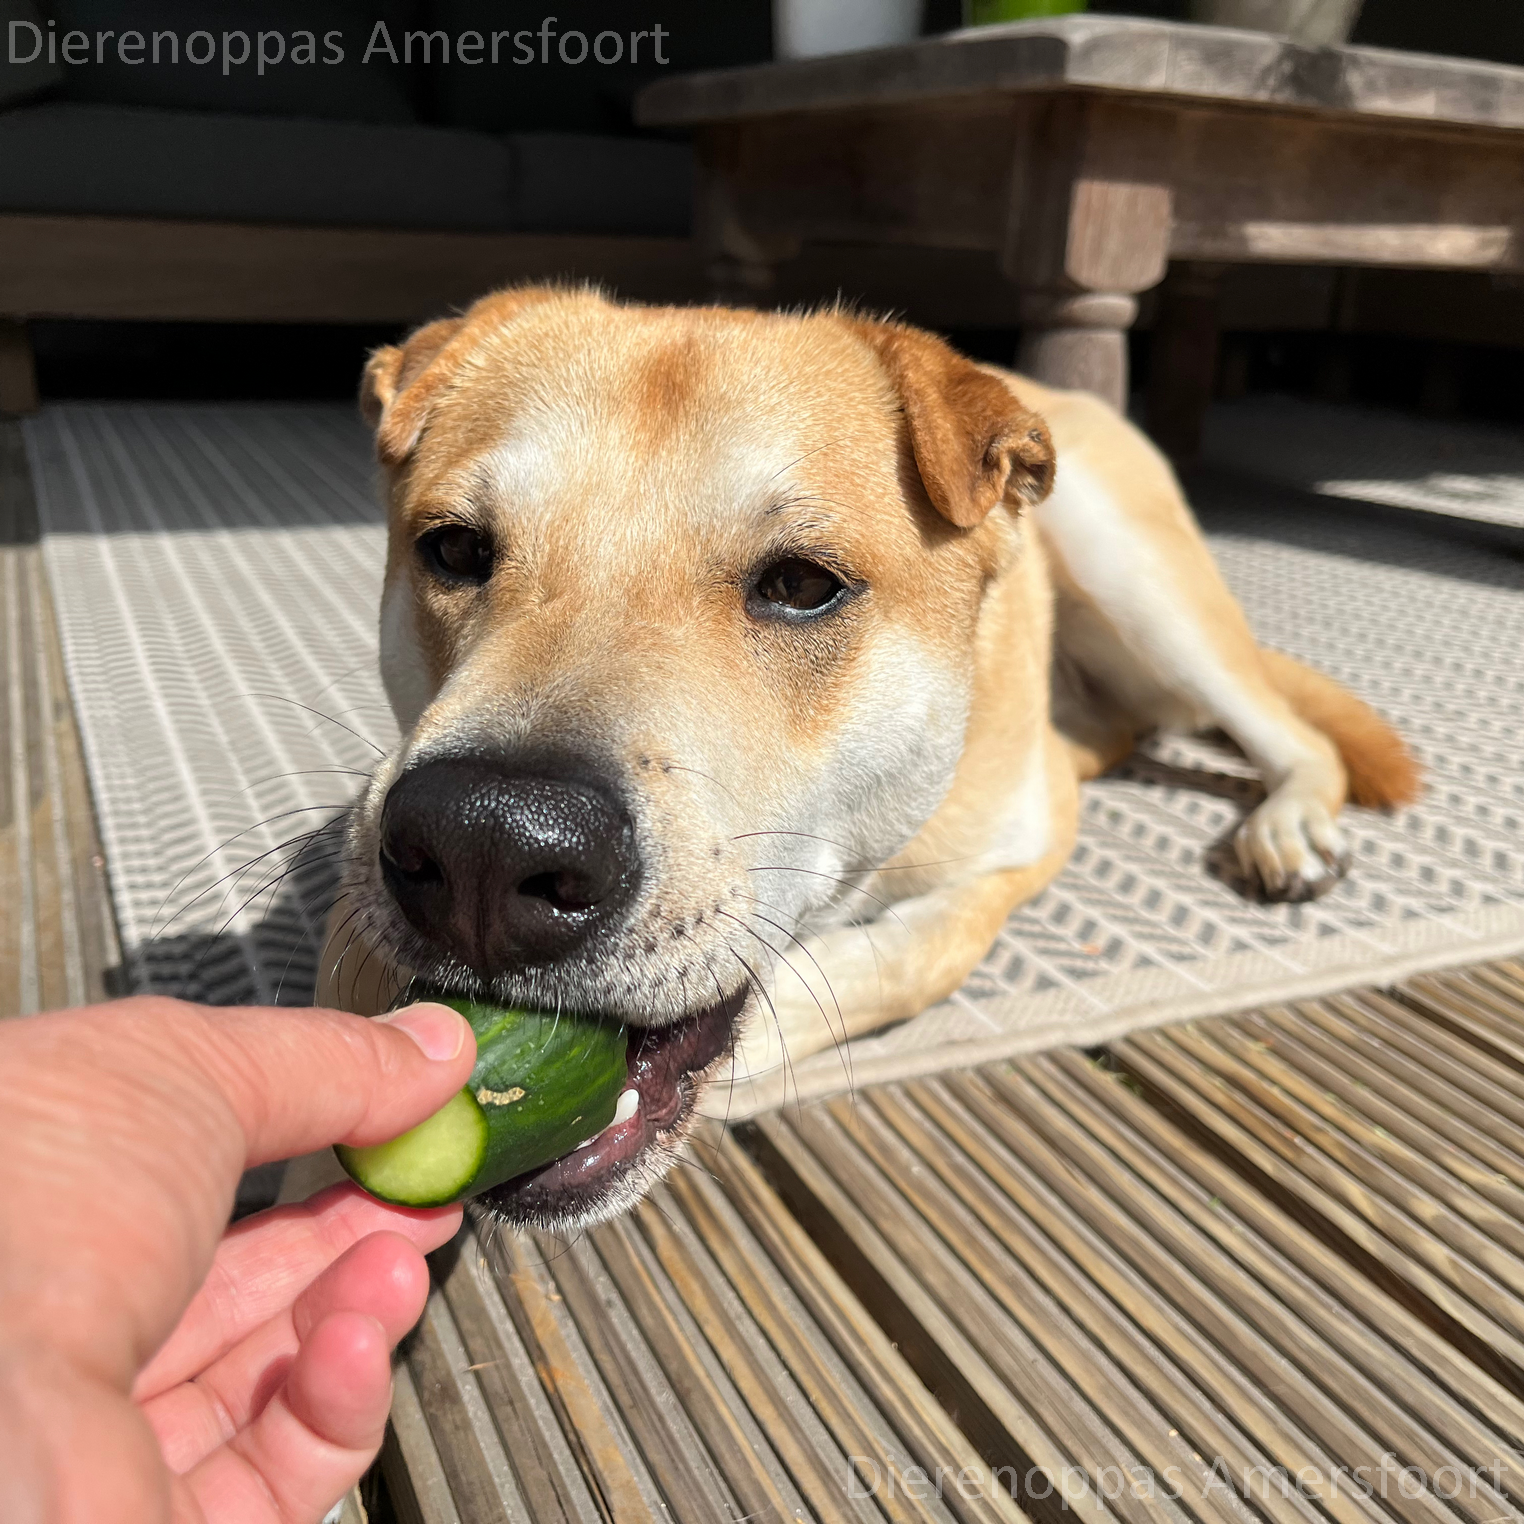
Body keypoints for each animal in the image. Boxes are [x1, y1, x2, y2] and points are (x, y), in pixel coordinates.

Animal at [315, 286, 1420, 1231]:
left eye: (803, 585)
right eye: (455, 550)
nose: (485, 844)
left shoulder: (1020, 842)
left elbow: (892, 961)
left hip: (1135, 571)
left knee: (1291, 731)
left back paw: (1291, 827)